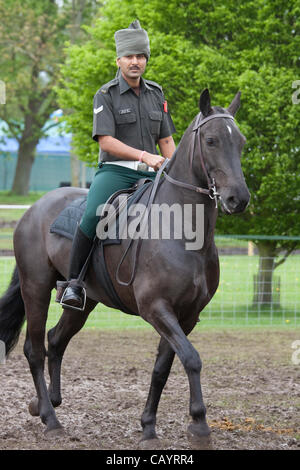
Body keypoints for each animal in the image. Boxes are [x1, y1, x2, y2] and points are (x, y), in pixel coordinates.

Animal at [0, 90, 248, 442]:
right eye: (211, 141)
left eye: (240, 142)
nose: (238, 198)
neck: (181, 230)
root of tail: (33, 209)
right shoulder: (156, 308)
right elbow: (192, 358)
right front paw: (199, 424)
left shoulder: (186, 315)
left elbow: (163, 368)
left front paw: (148, 426)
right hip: (35, 288)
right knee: (34, 349)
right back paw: (50, 418)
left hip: (84, 301)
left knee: (56, 339)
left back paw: (47, 401)